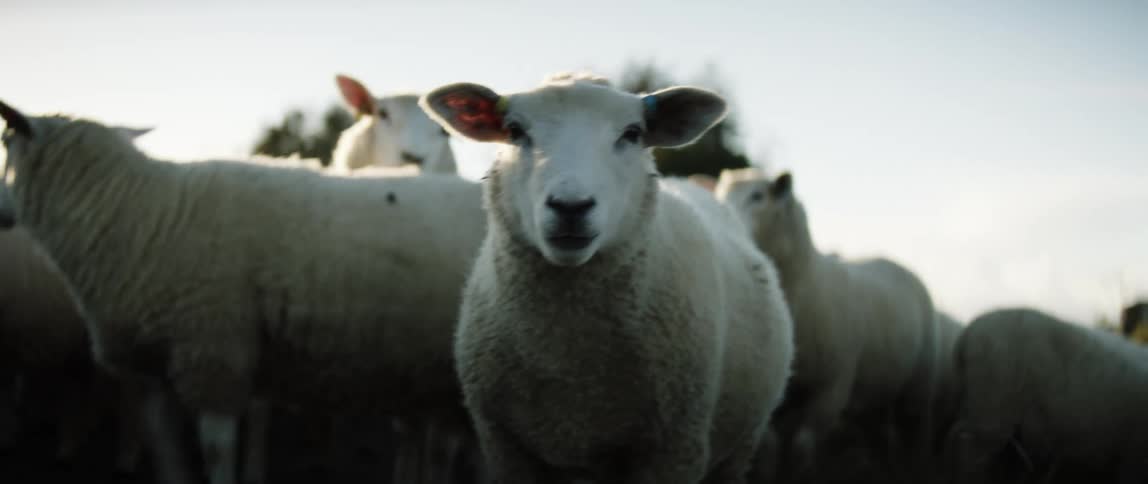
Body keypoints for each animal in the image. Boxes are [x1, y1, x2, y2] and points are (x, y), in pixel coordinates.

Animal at [0, 100, 487, 484]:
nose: (2, 214)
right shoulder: (154, 370)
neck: (142, 213)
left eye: (5, 144)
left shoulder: (215, 354)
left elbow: (217, 452)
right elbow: (169, 458)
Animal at [419, 72, 795, 483]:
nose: (570, 206)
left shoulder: (673, 449)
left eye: (632, 133)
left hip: (738, 450)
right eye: (515, 131)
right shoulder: (505, 446)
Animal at [714, 168, 939, 476]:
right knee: (880, 439)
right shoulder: (776, 399)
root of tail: (891, 262)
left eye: (758, 196)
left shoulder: (832, 389)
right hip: (874, 394)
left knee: (917, 432)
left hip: (919, 383)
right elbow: (771, 450)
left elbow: (802, 448)